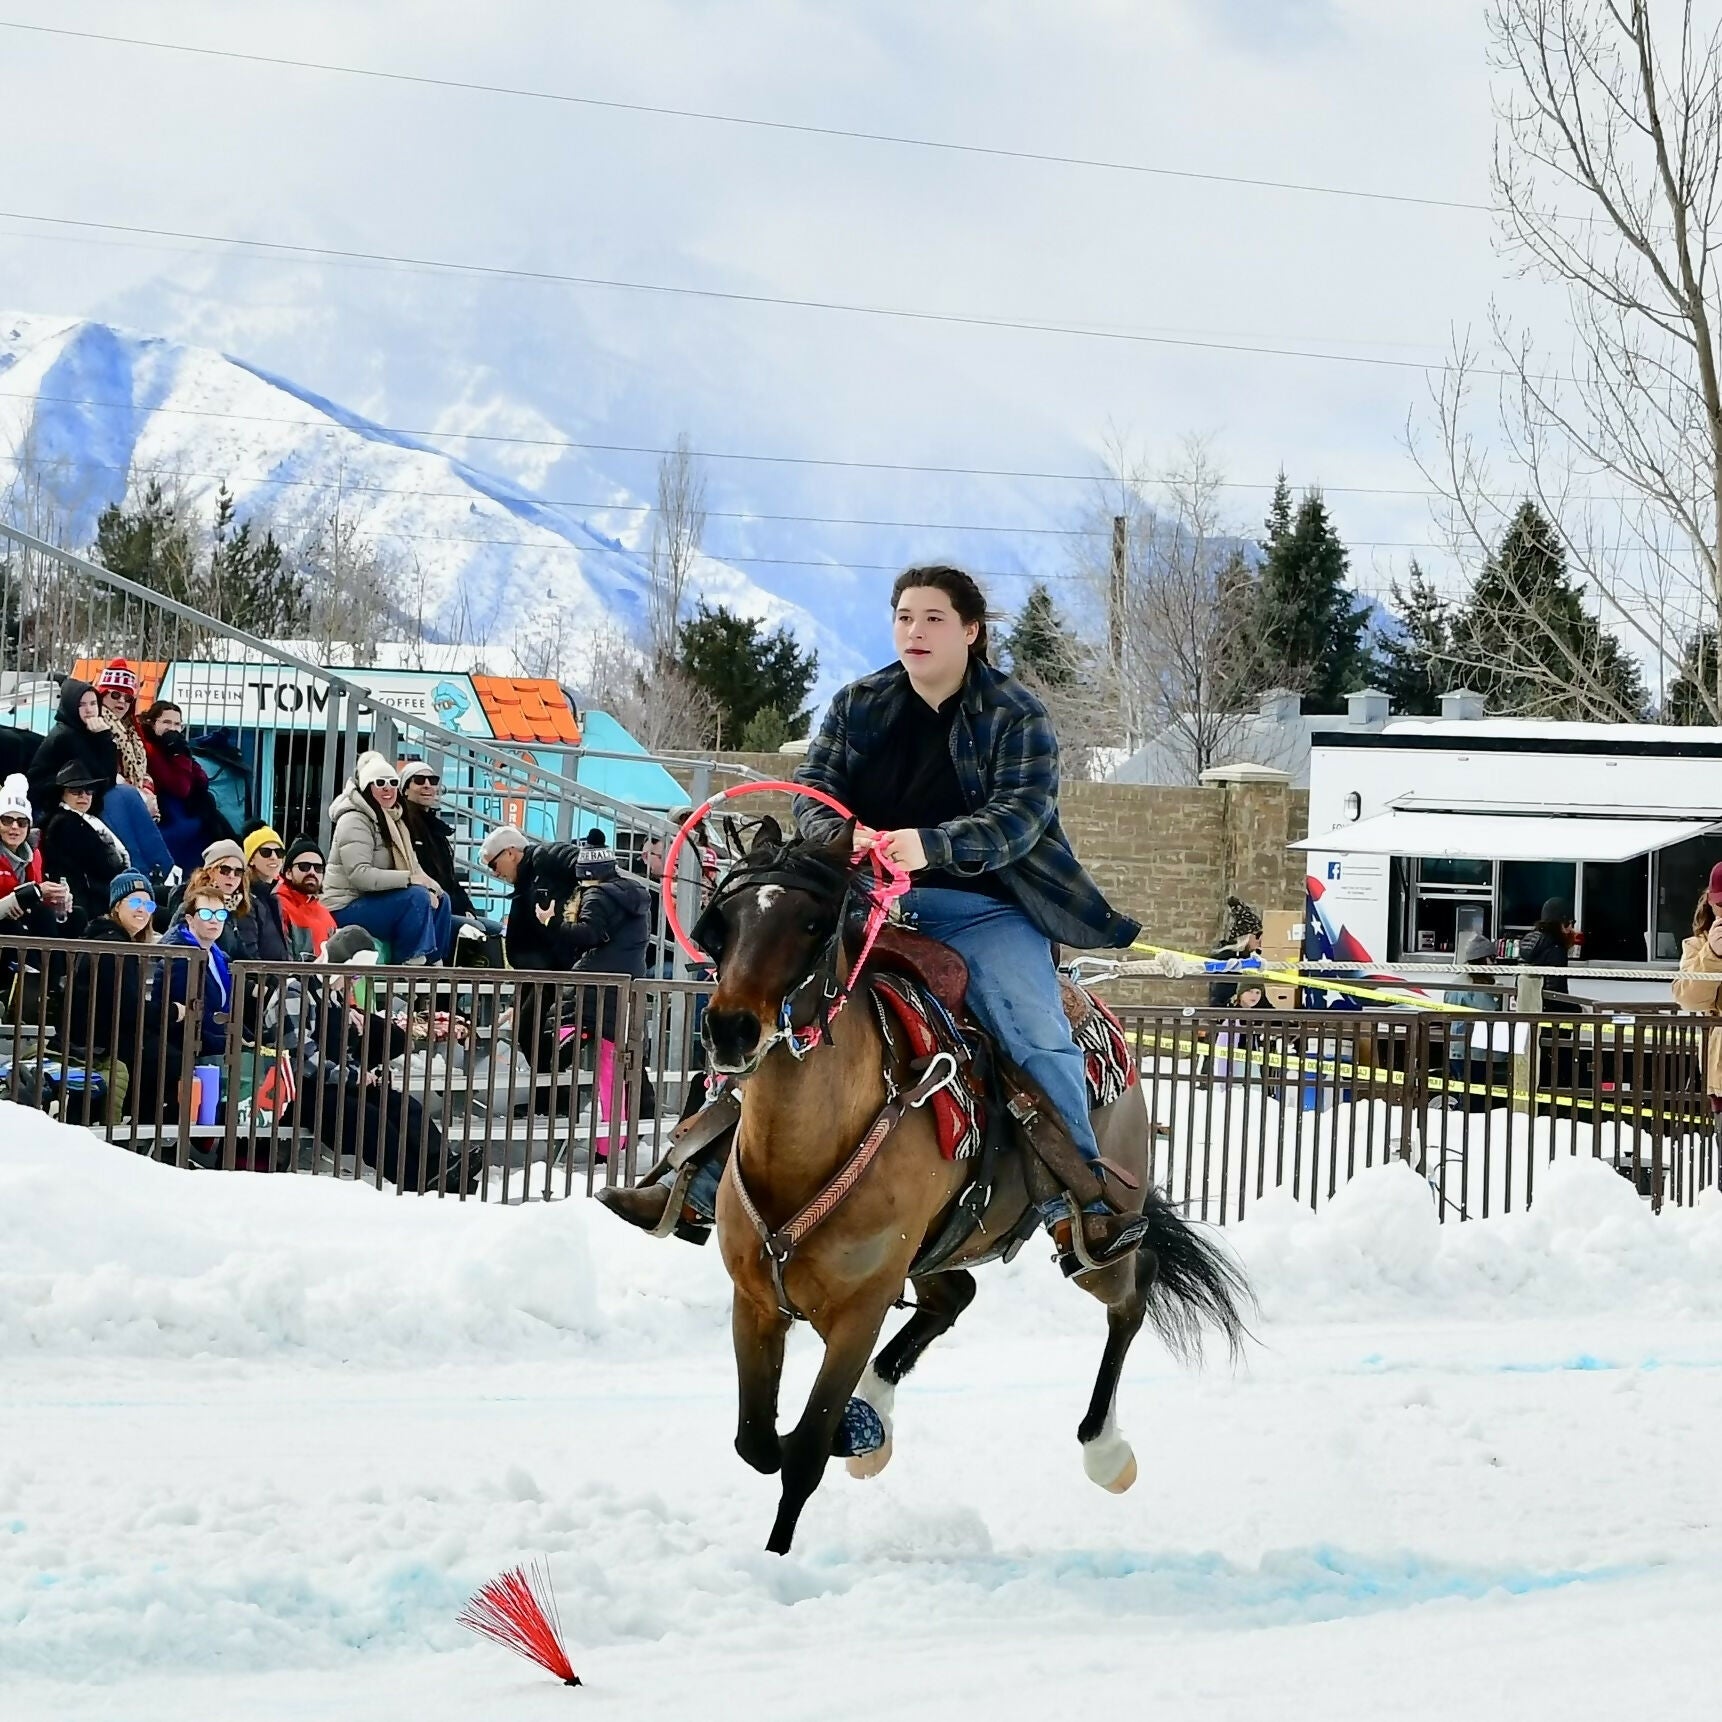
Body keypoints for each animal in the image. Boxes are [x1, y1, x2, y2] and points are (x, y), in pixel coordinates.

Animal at [678, 818, 1252, 1554]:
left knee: (1133, 1286)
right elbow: (757, 1443)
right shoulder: (754, 1301)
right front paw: (855, 1432)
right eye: (722, 923)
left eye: (811, 923)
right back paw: (877, 1420)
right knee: (956, 1295)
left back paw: (1105, 1450)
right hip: (935, 1250)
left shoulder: (860, 1310)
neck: (803, 1152)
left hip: (1096, 1231)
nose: (730, 1030)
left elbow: (802, 1451)